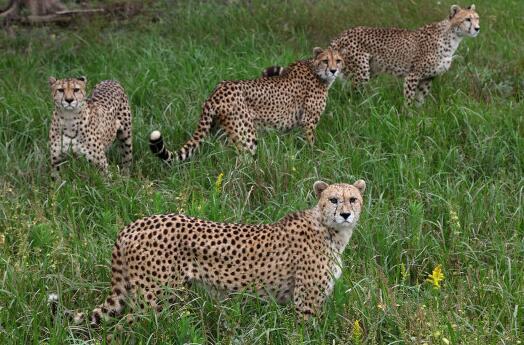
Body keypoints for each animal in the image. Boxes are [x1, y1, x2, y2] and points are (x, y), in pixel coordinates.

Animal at [51, 179, 366, 324]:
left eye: (353, 198)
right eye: (334, 199)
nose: (346, 214)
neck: (330, 231)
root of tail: (135, 223)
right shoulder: (305, 304)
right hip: (156, 300)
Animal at [148, 46, 344, 163]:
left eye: (338, 60)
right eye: (325, 60)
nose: (334, 70)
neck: (316, 71)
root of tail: (216, 92)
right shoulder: (308, 122)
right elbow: (311, 143)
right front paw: (314, 158)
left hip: (222, 133)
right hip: (246, 135)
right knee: (242, 163)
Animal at [264, 4, 482, 105]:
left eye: (477, 18)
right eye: (467, 19)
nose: (478, 28)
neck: (452, 38)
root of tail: (340, 35)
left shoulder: (428, 78)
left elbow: (420, 100)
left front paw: (419, 117)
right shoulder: (413, 75)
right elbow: (409, 99)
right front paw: (408, 117)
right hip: (361, 72)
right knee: (352, 96)